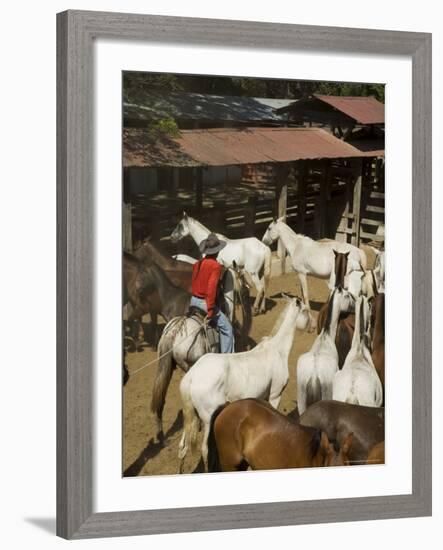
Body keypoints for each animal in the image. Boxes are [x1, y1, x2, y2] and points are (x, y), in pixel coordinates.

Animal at [179, 296, 310, 472]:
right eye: (305, 311)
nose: (312, 326)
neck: (277, 350)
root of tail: (192, 376)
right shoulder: (275, 395)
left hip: (191, 416)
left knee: (182, 448)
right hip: (208, 419)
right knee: (205, 451)